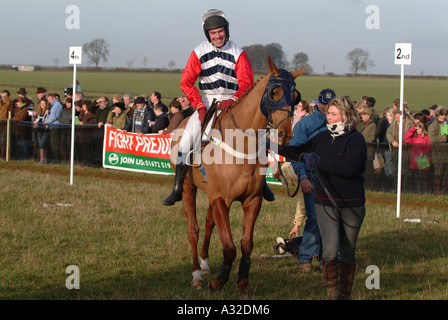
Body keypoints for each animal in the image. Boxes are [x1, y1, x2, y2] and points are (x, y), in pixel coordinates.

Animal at [170, 57, 306, 298]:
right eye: (275, 92)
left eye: (296, 97)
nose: (285, 134)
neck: (240, 145)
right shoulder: (220, 199)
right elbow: (230, 247)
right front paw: (219, 281)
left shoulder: (252, 200)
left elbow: (246, 244)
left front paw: (242, 284)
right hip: (188, 189)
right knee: (193, 229)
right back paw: (197, 275)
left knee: (208, 224)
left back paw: (205, 265)